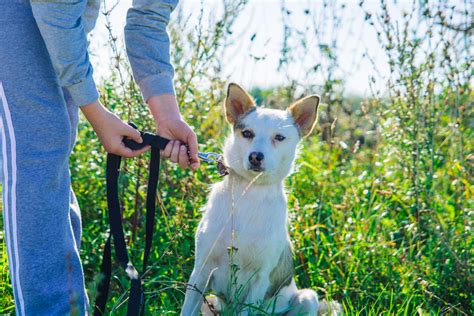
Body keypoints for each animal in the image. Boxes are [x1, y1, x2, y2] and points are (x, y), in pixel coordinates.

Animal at [181, 82, 340, 314]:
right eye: (247, 133)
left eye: (279, 137)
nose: (256, 157)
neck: (249, 191)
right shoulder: (200, 271)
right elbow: (186, 308)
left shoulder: (259, 279)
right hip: (208, 301)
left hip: (307, 298)